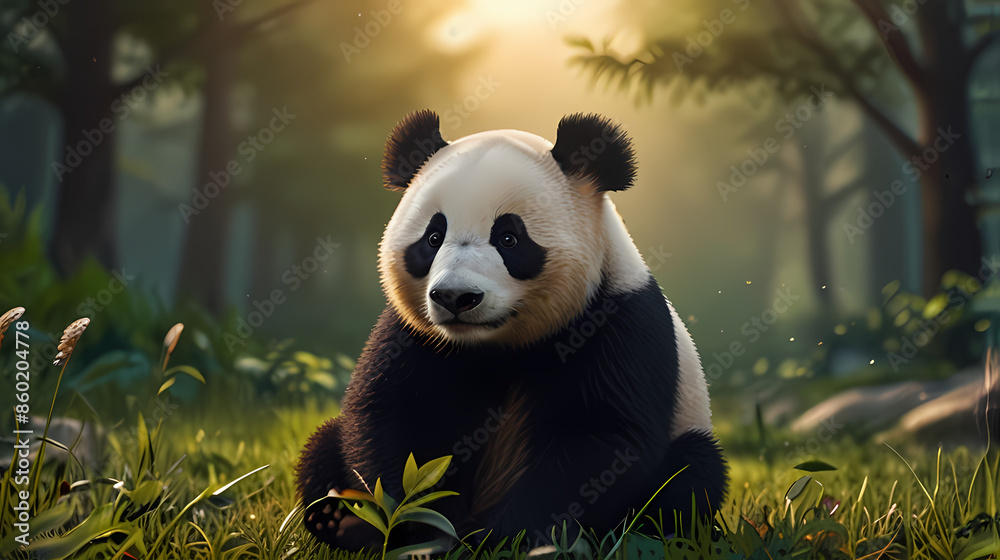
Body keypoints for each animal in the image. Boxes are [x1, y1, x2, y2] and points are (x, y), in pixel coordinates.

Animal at [297, 110, 727, 550]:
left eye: (509, 238)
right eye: (433, 238)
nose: (455, 297)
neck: (498, 344)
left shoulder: (618, 326)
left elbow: (601, 441)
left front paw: (499, 537)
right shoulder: (414, 336)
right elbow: (391, 418)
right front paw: (421, 526)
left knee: (691, 476)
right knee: (323, 448)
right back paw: (336, 520)